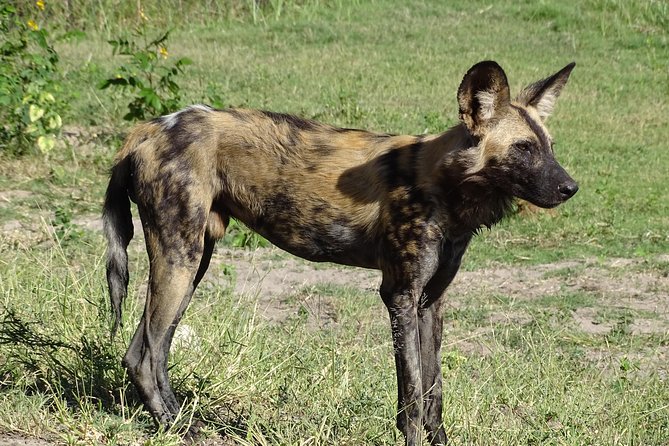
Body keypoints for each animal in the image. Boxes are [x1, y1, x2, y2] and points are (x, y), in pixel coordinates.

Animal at [103, 61, 576, 444]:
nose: (571, 187)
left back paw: (179, 420)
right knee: (146, 356)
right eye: (523, 148)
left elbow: (433, 393)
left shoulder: (430, 302)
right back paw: (178, 429)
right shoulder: (400, 297)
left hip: (193, 261)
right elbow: (412, 397)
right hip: (180, 259)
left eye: (550, 146)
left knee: (145, 349)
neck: (449, 187)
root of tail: (148, 128)